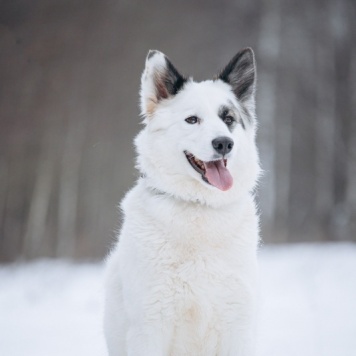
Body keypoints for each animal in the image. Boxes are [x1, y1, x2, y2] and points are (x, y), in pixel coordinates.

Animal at [104, 48, 260, 356]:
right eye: (192, 120)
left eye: (228, 119)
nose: (224, 143)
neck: (199, 207)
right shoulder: (150, 327)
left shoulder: (236, 325)